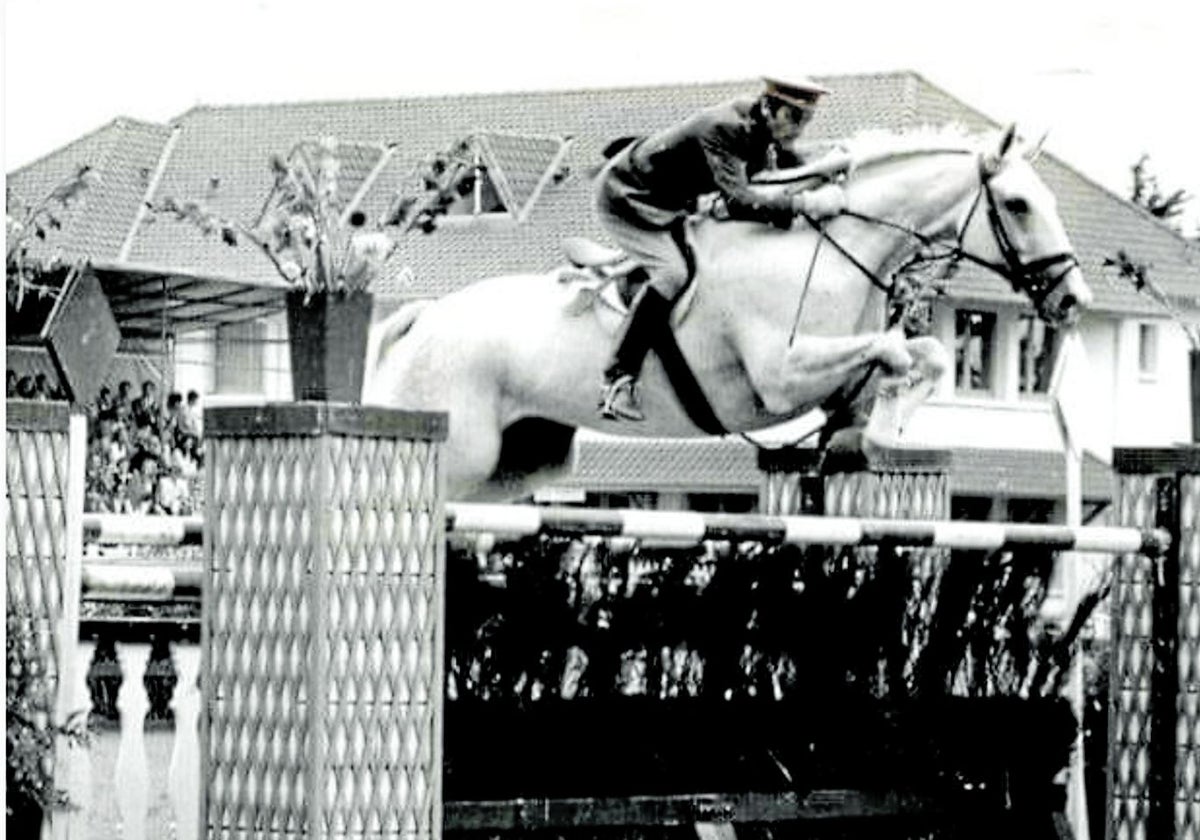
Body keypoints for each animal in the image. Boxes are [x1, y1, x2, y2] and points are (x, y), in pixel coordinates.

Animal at [369, 126, 1094, 499]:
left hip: (516, 466)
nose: (1073, 299)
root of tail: (420, 320)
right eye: (1019, 205)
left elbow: (928, 355)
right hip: (456, 451)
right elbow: (891, 352)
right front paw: (881, 425)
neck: (832, 248)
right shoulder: (779, 377)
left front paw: (877, 429)